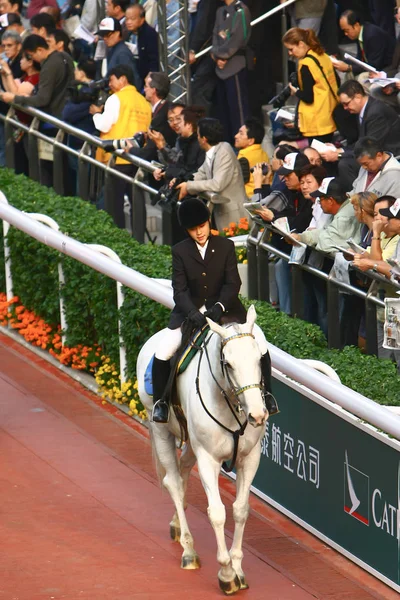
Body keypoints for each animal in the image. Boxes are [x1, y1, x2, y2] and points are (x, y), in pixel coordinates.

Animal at [136, 308, 268, 592]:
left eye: (258, 359)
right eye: (228, 364)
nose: (257, 414)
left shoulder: (250, 458)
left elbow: (240, 509)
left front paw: (238, 568)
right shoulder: (208, 458)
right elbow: (217, 513)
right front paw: (226, 573)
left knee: (183, 469)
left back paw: (177, 521)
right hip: (161, 429)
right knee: (173, 482)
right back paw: (188, 550)